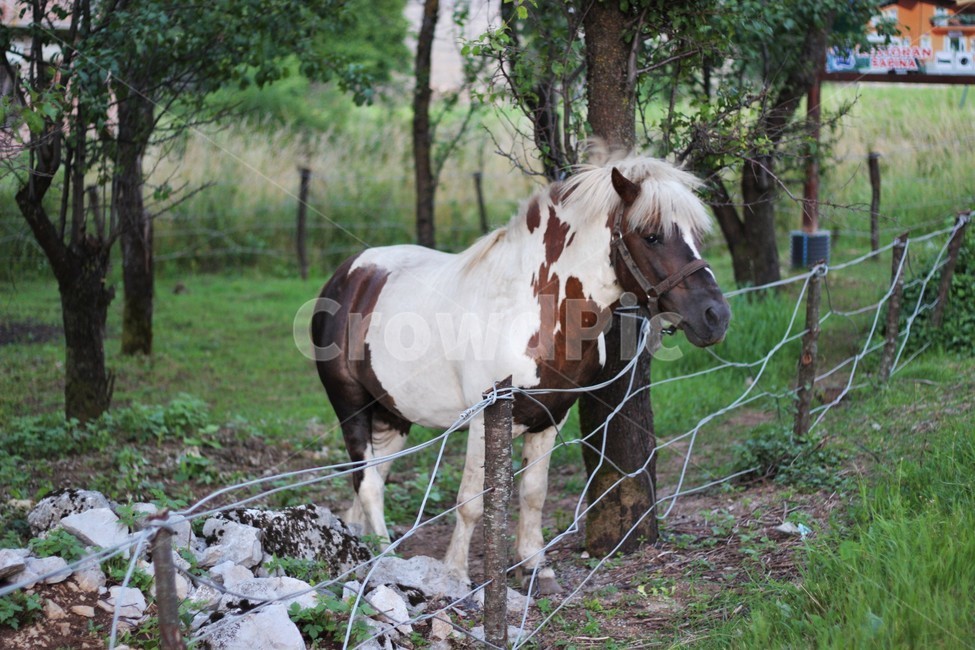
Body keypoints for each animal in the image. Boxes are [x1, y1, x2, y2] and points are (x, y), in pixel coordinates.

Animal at [310, 153, 731, 595]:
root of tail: (348, 275)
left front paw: (534, 567)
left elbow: (533, 493)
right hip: (351, 407)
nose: (715, 316)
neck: (530, 307)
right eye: (651, 236)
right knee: (369, 483)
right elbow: (471, 502)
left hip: (393, 416)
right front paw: (454, 574)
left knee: (373, 478)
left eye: (696, 234)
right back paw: (385, 559)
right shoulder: (485, 419)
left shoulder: (549, 417)